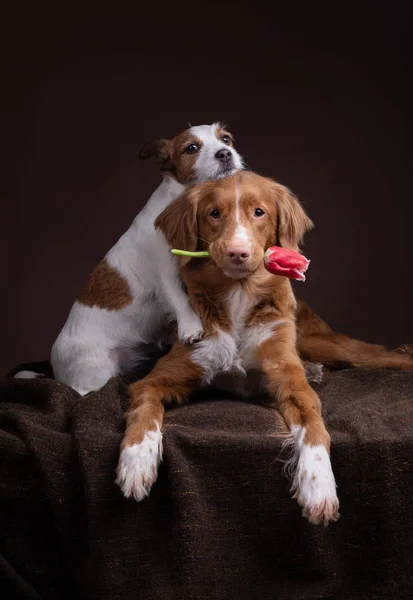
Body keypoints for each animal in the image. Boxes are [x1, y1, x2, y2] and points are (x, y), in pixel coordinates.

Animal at [48, 123, 243, 394]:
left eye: (226, 139)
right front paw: (191, 327)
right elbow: (179, 299)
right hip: (95, 371)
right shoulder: (165, 273)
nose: (225, 153)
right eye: (191, 148)